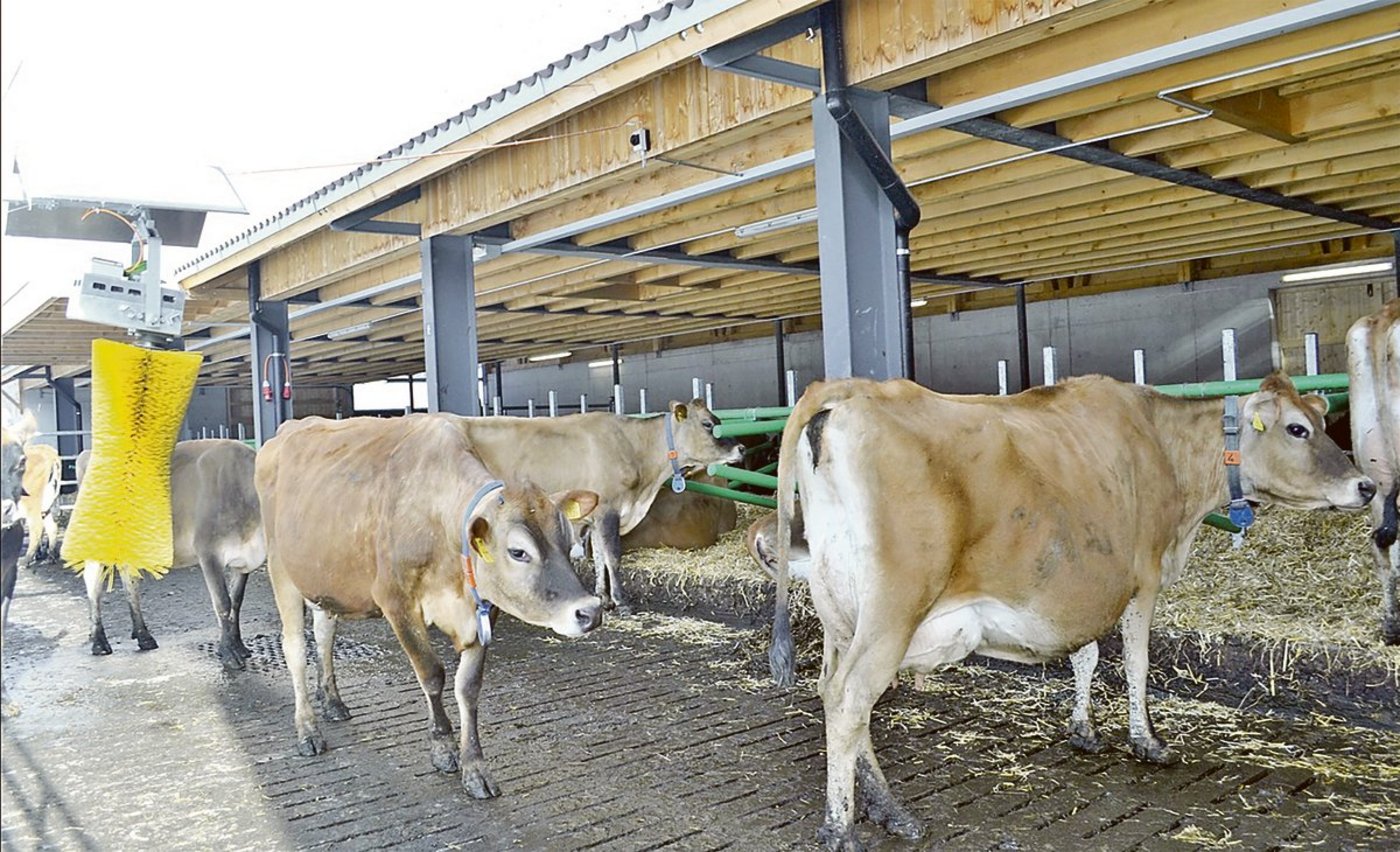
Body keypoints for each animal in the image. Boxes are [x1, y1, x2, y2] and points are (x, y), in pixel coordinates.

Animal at [77, 439, 266, 669]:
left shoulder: (242, 559)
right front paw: (229, 653)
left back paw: (144, 636)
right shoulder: (208, 552)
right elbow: (223, 602)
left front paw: (239, 647)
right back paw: (99, 642)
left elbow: (236, 602)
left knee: (130, 581)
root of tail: (87, 454)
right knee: (93, 585)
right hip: (97, 540)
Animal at [255, 414, 604, 797]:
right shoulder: (397, 602)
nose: (590, 611)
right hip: (281, 571)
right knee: (295, 649)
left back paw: (332, 701)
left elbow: (468, 688)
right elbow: (432, 674)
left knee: (324, 636)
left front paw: (475, 767)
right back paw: (307, 729)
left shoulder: (484, 611)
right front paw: (443, 747)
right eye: (518, 551)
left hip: (322, 578)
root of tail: (289, 427)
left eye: (568, 541)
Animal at [454, 399, 741, 613]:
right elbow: (613, 556)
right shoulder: (608, 510)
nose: (740, 448)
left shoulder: (594, 516)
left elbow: (600, 556)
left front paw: (603, 598)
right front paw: (622, 602)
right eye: (707, 424)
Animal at [766, 373, 1374, 851]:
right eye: (1297, 429)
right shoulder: (1143, 578)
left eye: (1319, 420)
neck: (1164, 450)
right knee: (850, 698)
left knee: (833, 689)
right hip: (894, 609)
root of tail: (844, 389)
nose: (1366, 486)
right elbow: (1135, 663)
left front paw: (1084, 728)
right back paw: (842, 828)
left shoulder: (1085, 585)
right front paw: (1147, 741)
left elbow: (1085, 655)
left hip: (841, 608)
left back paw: (891, 812)